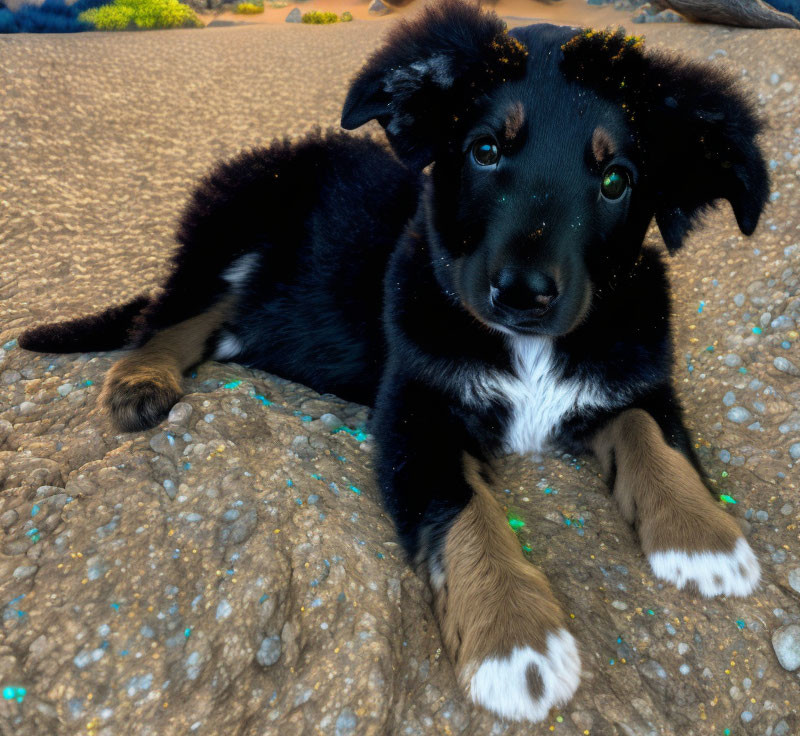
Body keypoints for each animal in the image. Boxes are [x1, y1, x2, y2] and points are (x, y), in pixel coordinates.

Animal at [20, 1, 768, 724]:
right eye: (485, 151)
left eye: (616, 181)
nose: (521, 295)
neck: (528, 348)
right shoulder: (416, 412)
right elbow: (461, 510)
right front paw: (513, 639)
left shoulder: (634, 375)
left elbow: (652, 435)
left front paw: (703, 536)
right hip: (235, 219)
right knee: (170, 310)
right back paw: (140, 379)